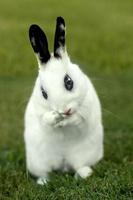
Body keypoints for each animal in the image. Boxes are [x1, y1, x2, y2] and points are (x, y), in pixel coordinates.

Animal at [24, 16, 104, 185]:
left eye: (69, 82)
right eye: (43, 93)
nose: (65, 110)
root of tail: (64, 163)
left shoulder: (86, 109)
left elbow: (79, 119)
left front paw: (66, 121)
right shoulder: (39, 111)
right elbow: (45, 120)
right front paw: (55, 118)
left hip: (84, 155)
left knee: (79, 166)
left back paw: (85, 174)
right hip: (39, 161)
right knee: (46, 172)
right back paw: (43, 182)